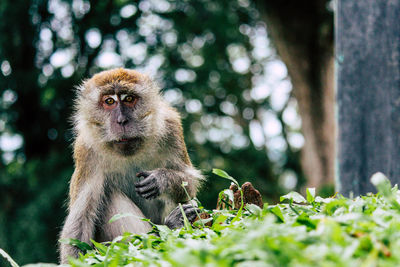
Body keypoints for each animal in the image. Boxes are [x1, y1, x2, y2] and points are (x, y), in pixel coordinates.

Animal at [59, 68, 203, 264]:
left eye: (128, 99)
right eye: (109, 101)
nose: (121, 121)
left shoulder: (170, 128)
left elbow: (189, 181)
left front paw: (161, 179)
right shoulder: (86, 152)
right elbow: (80, 221)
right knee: (108, 196)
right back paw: (168, 229)